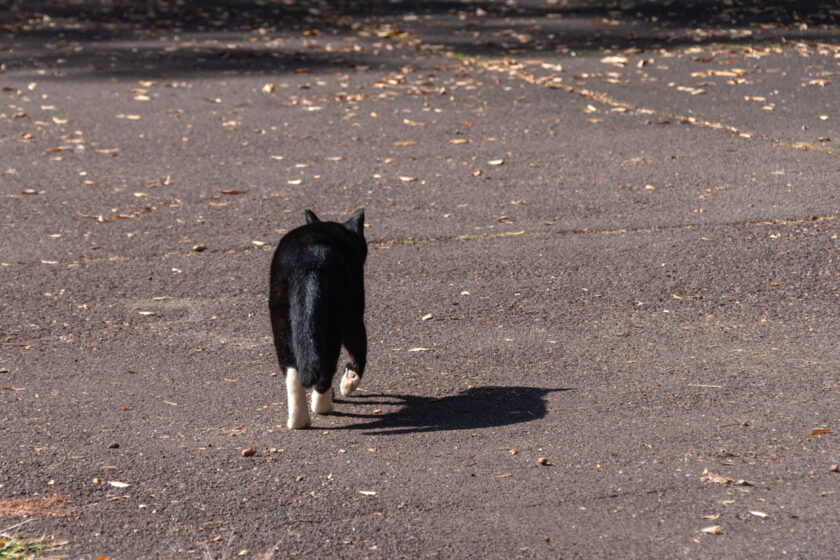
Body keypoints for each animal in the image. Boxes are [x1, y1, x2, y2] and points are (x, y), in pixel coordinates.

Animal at [270, 209, 368, 428]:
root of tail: (308, 263)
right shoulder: (355, 311)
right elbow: (359, 352)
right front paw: (349, 382)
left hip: (282, 322)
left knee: (292, 370)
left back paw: (298, 421)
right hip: (335, 321)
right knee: (327, 367)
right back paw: (322, 406)